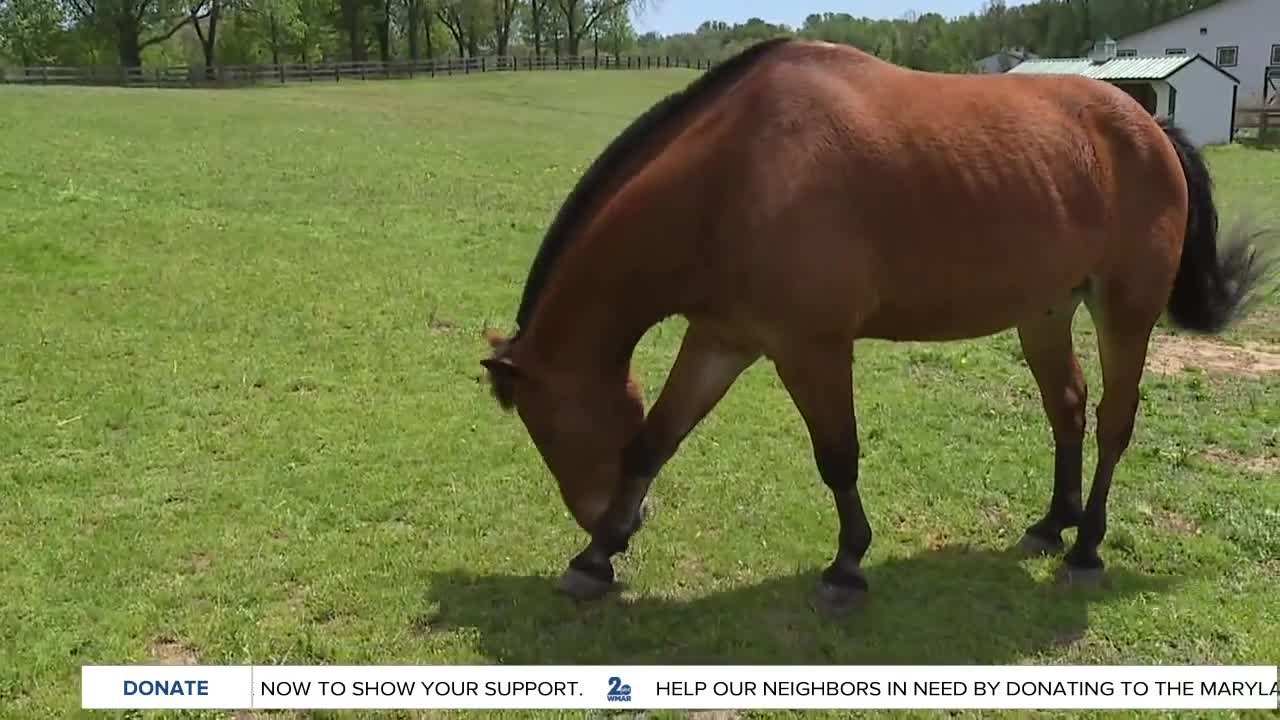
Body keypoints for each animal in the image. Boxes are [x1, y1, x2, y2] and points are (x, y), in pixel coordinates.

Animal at [478, 37, 1269, 609]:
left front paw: (847, 565)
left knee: (1113, 421)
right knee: (1066, 408)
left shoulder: (812, 349)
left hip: (1124, 311)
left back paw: (1086, 547)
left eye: (547, 429)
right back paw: (1053, 524)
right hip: (1045, 310)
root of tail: (1150, 126)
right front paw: (594, 558)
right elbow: (655, 439)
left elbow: (838, 457)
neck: (735, 175)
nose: (609, 519)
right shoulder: (722, 339)